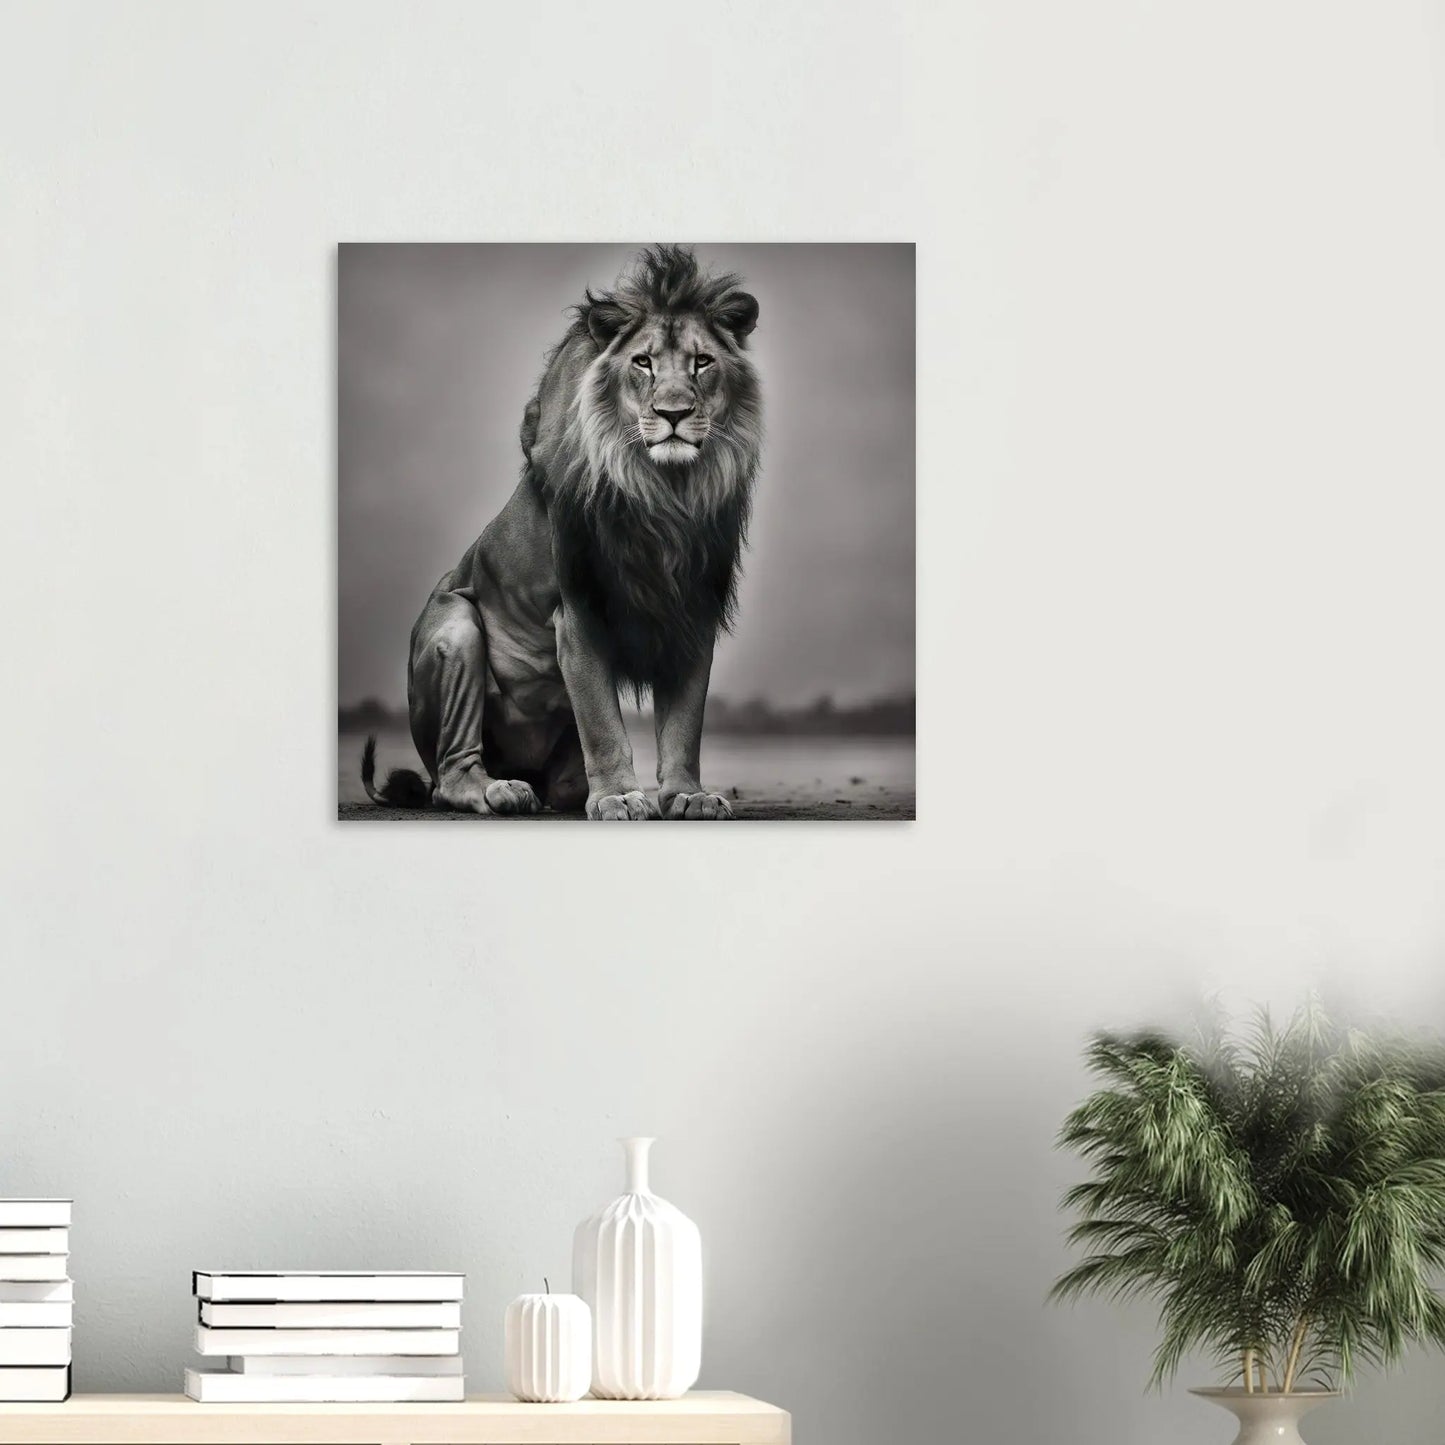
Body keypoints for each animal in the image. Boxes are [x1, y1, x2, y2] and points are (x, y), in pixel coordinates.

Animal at [361, 245, 763, 820]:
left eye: (702, 362)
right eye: (643, 362)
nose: (674, 413)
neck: (665, 492)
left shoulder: (693, 607)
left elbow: (685, 724)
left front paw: (688, 794)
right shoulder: (578, 609)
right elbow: (600, 721)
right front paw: (618, 796)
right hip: (456, 627)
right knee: (449, 774)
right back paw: (500, 791)